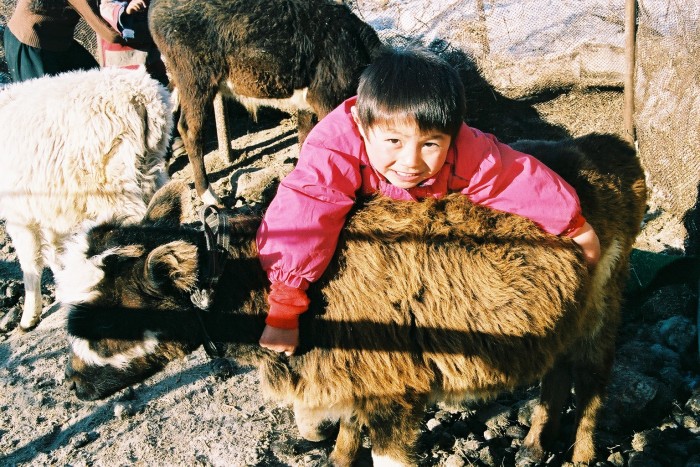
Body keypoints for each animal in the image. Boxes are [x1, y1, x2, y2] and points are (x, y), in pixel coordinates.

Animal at [0, 67, 174, 330]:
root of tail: (141, 95)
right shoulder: (48, 208)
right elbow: (56, 252)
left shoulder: (19, 212)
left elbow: (30, 262)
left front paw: (29, 317)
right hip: (149, 167)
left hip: (112, 183)